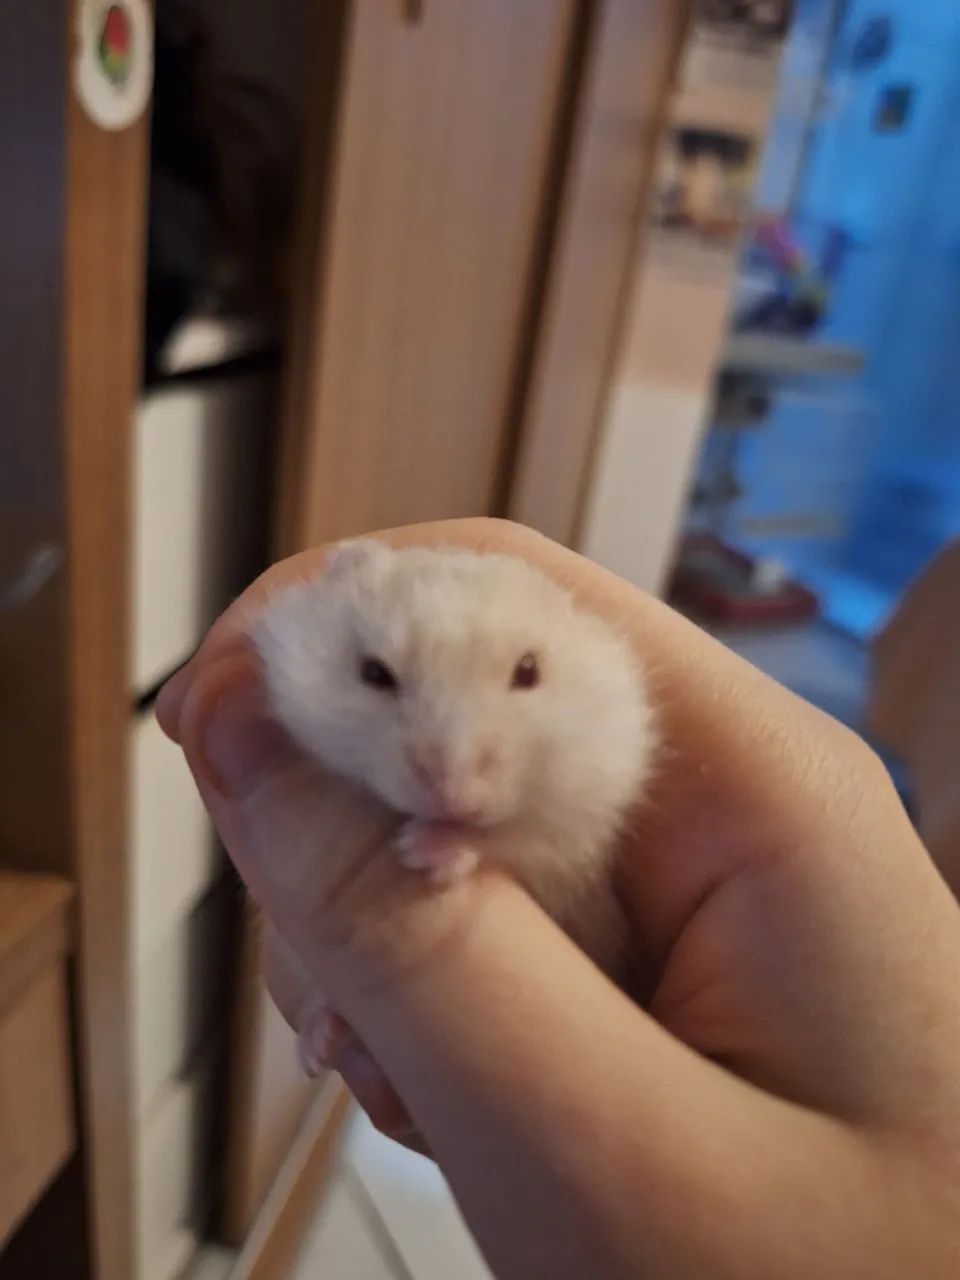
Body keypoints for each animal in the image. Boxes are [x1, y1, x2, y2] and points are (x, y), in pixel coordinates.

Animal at [253, 539, 655, 1073]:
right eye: (374, 673)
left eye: (528, 670)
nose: (453, 792)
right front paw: (316, 1054)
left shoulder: (577, 832)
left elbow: (514, 841)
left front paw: (422, 849)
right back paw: (321, 1046)